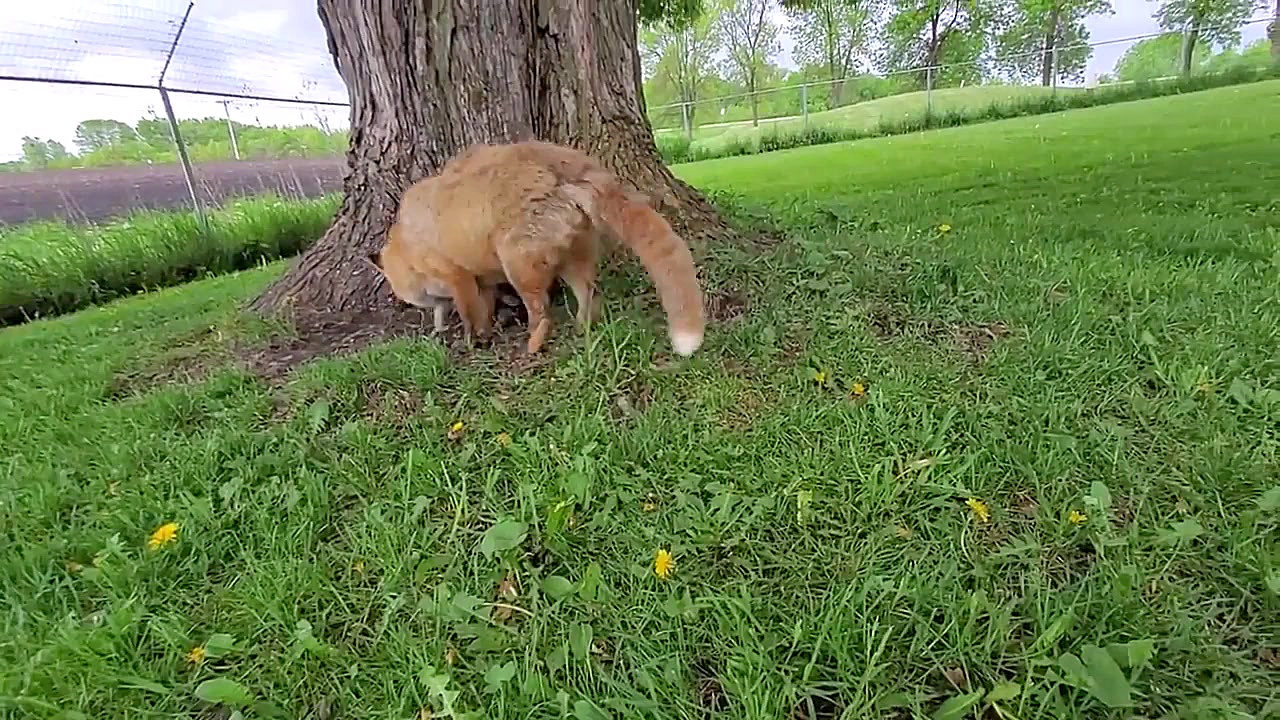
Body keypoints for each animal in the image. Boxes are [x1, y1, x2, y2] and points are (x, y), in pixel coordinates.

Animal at [368, 140, 705, 356]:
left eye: (412, 296)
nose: (435, 329)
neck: (408, 244)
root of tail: (563, 160)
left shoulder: (457, 276)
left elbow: (469, 315)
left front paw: (472, 341)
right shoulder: (482, 279)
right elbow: (485, 309)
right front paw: (486, 334)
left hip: (518, 266)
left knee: (541, 312)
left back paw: (533, 345)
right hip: (573, 257)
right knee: (590, 294)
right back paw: (583, 327)